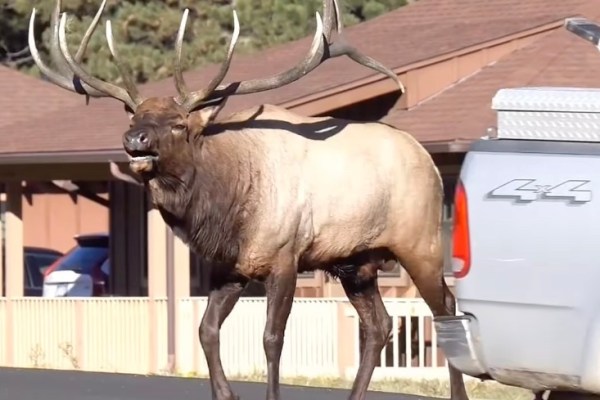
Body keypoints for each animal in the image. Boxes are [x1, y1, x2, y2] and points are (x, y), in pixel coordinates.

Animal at [28, 0, 468, 400]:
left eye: (178, 125)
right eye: (134, 118)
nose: (135, 139)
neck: (228, 208)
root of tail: (429, 161)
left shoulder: (286, 257)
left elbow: (272, 338)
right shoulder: (230, 266)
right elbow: (206, 330)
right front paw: (225, 393)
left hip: (420, 241)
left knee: (445, 308)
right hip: (357, 261)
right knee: (380, 324)